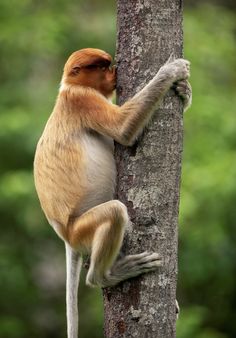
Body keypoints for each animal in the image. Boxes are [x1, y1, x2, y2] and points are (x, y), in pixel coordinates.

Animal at [33, 48, 192, 338]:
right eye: (102, 67)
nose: (115, 71)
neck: (69, 87)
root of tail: (65, 236)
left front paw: (184, 91)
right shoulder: (83, 100)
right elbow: (122, 129)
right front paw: (172, 70)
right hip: (81, 228)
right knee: (115, 212)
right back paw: (105, 276)